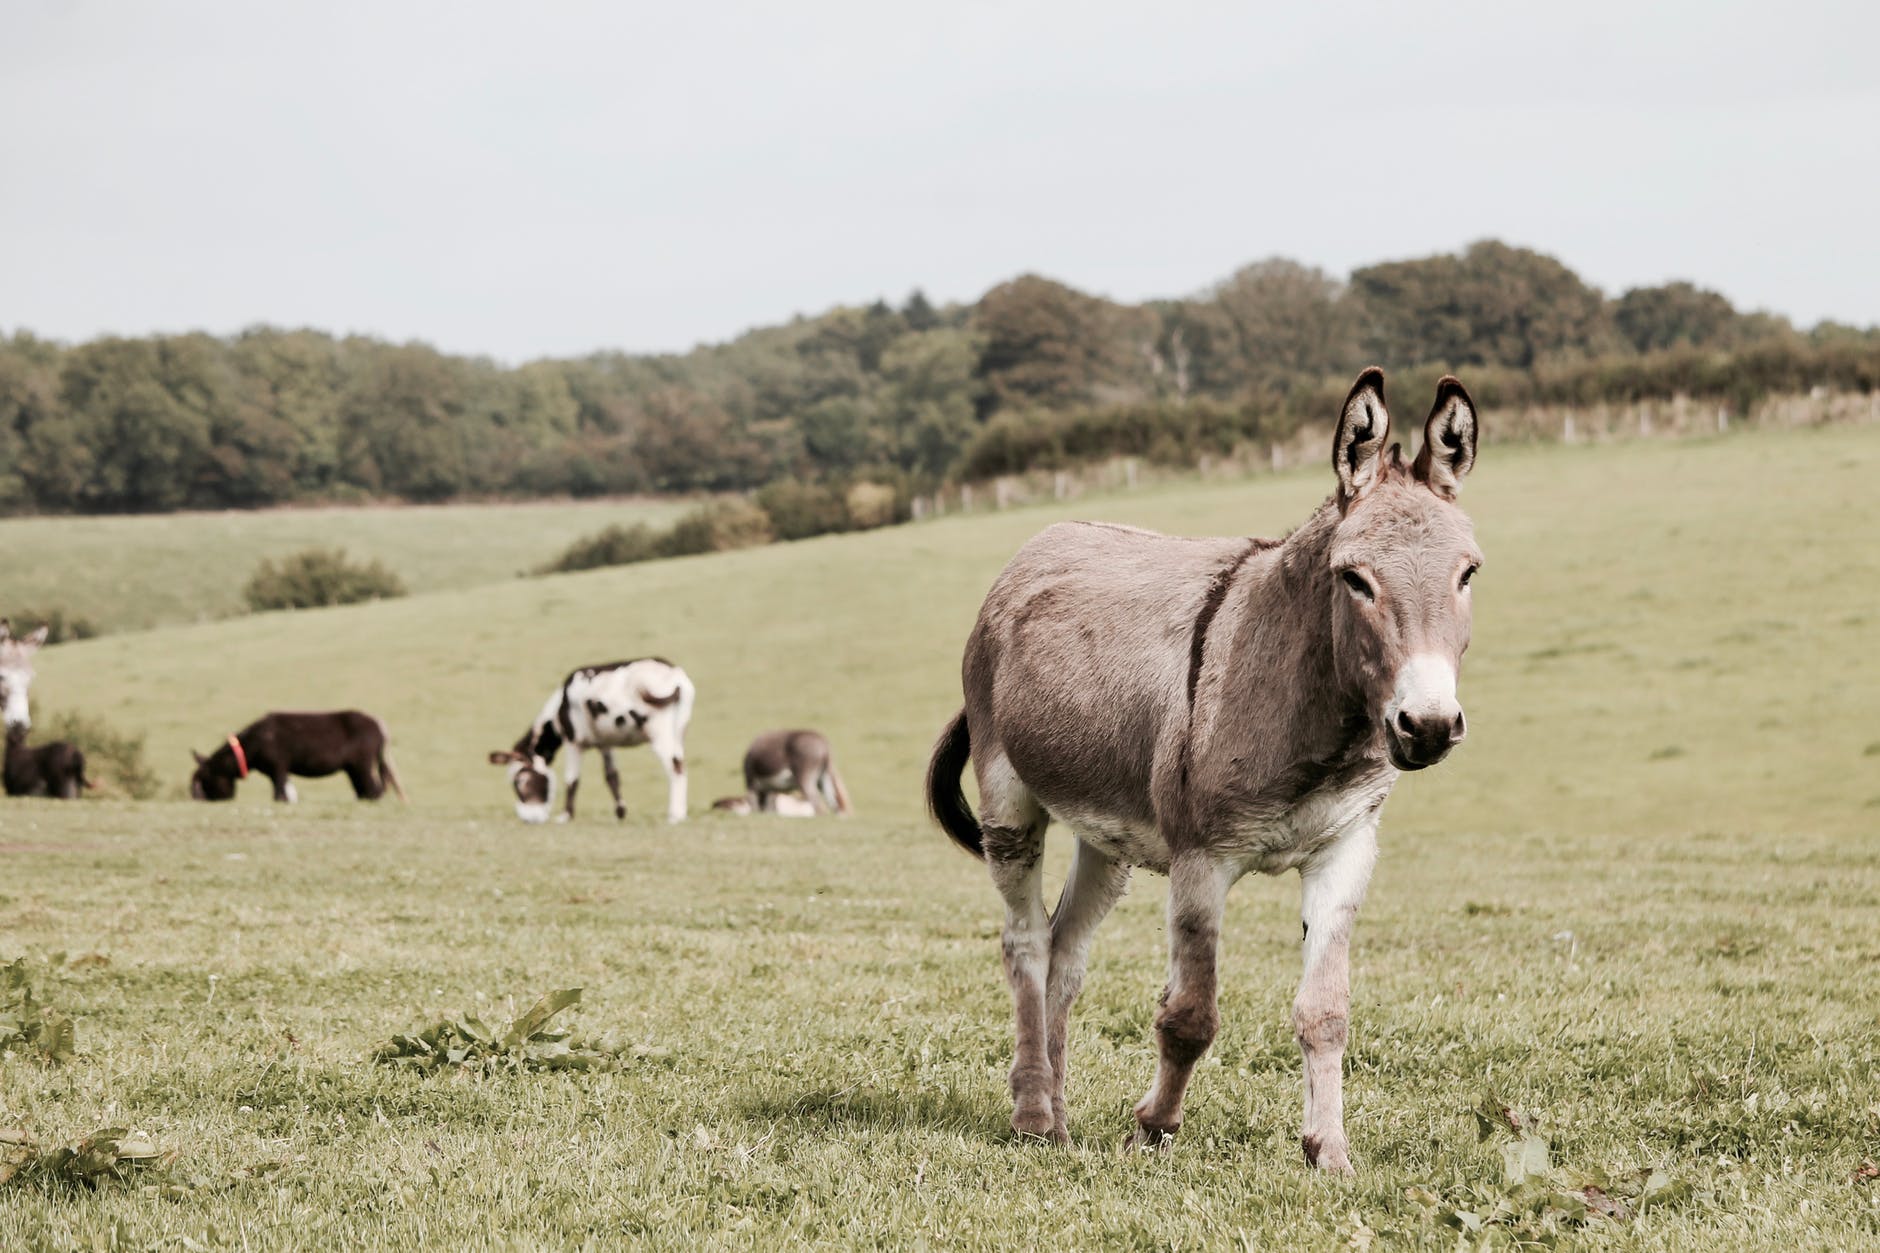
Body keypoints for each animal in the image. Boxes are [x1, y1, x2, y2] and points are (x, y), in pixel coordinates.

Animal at [488, 654, 695, 820]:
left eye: (520, 781)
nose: (527, 819)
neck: (560, 707)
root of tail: (673, 673)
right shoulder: (605, 743)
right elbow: (612, 777)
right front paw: (620, 812)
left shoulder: (573, 741)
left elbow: (572, 779)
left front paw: (566, 815)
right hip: (679, 731)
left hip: (659, 731)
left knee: (676, 767)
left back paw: (675, 815)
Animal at [924, 366, 1481, 1166]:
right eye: (1355, 579)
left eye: (1468, 574)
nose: (1429, 726)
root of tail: (1046, 538)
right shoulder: (1200, 860)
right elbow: (1191, 1014)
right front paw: (1154, 1125)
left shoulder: (1345, 850)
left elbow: (1326, 1011)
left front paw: (1330, 1152)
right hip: (1010, 802)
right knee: (1024, 943)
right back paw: (1031, 1113)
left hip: (1107, 837)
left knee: (1065, 950)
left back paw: (1058, 1120)